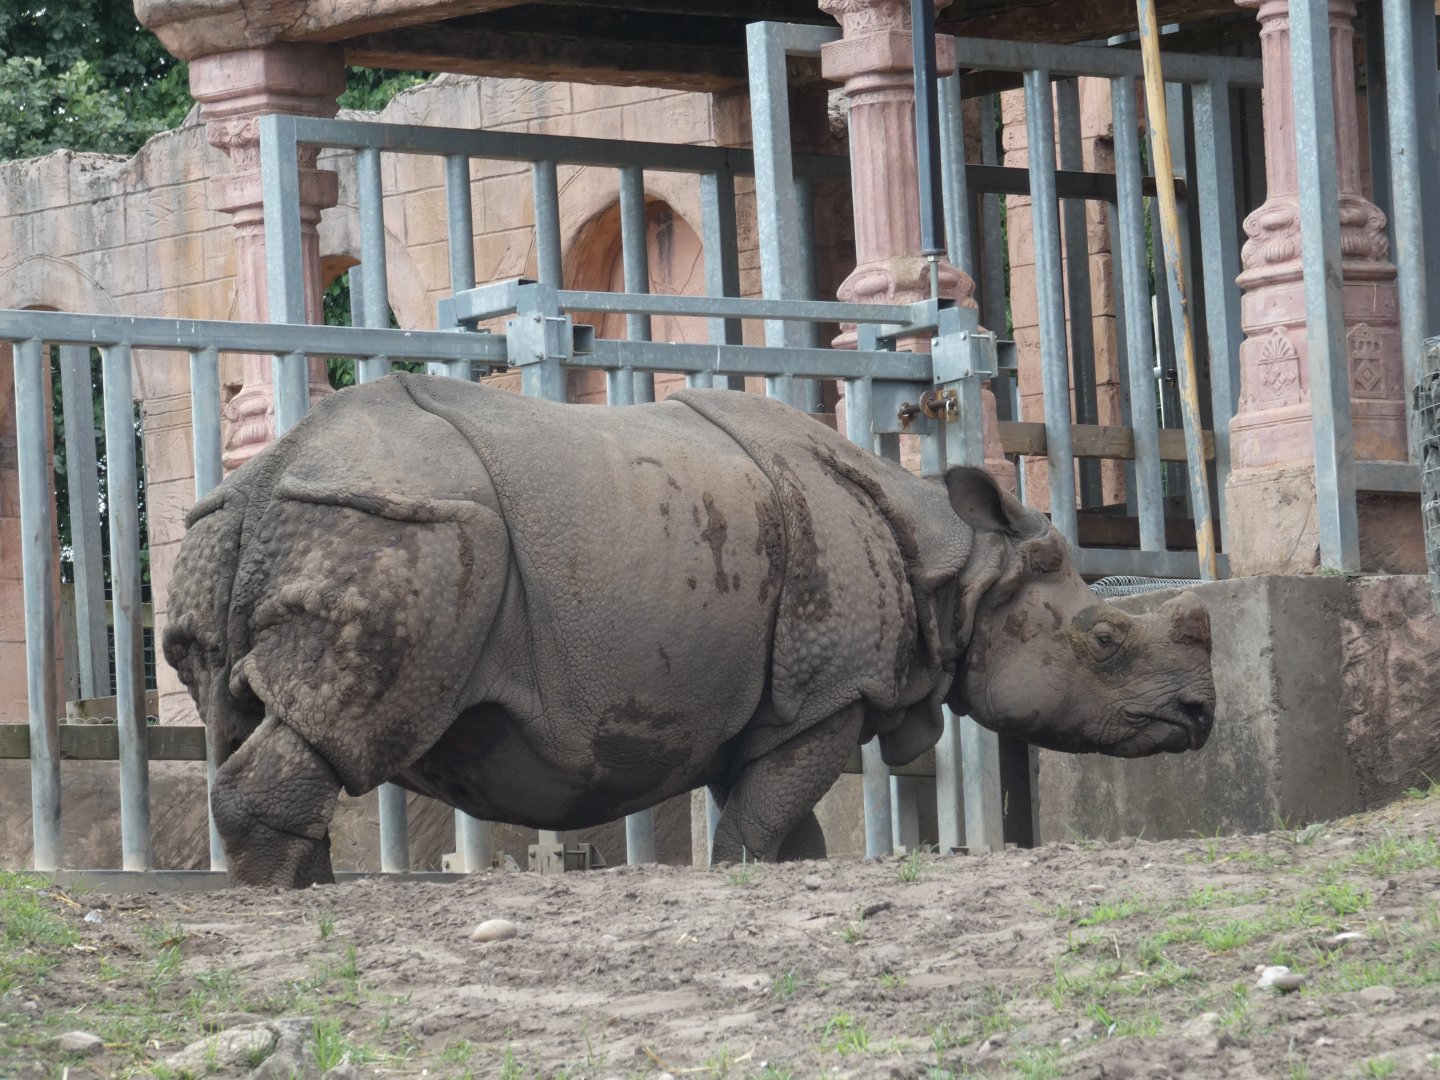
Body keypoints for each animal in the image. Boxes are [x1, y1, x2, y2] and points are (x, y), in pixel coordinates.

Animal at [163, 373, 1215, 887]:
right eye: (1105, 642)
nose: (1202, 716)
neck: (960, 568)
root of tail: (272, 474)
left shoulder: (765, 702)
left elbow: (782, 824)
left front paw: (792, 871)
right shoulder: (826, 694)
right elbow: (764, 818)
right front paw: (751, 873)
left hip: (258, 528)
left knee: (248, 717)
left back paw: (306, 883)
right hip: (402, 530)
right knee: (344, 726)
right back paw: (287, 894)